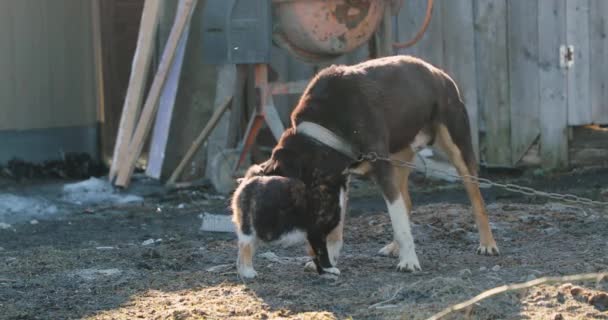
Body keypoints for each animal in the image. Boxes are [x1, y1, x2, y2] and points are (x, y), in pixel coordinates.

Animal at [252, 55, 498, 272]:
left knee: (477, 201)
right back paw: (394, 247)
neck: (323, 130)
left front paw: (409, 261)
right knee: (406, 202)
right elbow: (338, 229)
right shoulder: (341, 178)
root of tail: (440, 74)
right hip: (398, 157)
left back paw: (487, 243)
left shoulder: (380, 169)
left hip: (457, 148)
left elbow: (398, 221)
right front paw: (328, 259)